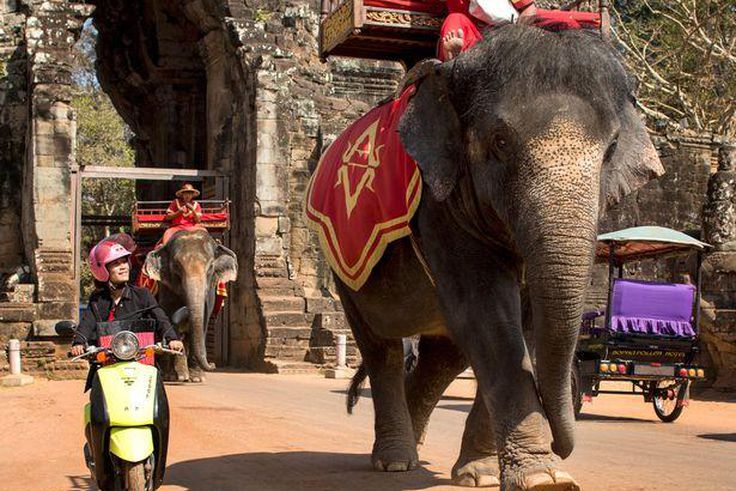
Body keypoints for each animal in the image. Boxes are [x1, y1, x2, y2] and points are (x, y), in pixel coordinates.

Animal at [143, 229, 238, 383]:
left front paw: (197, 378)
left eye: (210, 267)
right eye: (176, 266)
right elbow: (169, 319)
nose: (213, 364)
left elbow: (203, 321)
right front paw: (174, 376)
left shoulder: (209, 293)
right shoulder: (165, 287)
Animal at [335, 25, 664, 490]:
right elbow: (488, 315)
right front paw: (548, 479)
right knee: (381, 347)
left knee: (444, 356)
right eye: (500, 142)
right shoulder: (439, 208)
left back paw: (415, 451)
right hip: (345, 271)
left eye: (611, 148)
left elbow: (522, 322)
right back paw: (395, 461)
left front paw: (484, 475)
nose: (564, 444)